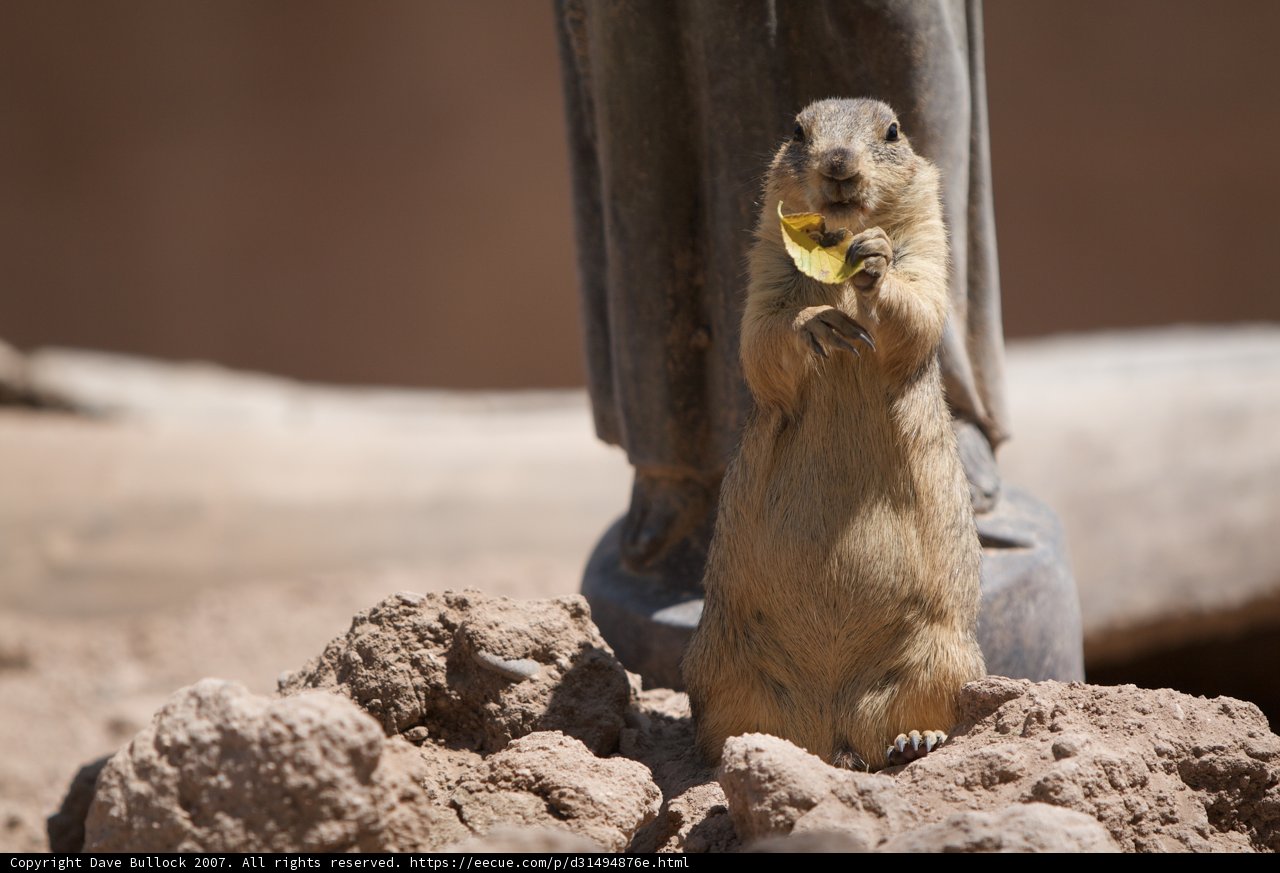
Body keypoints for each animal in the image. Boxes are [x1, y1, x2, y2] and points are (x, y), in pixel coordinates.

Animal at [681, 98, 985, 770]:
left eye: (892, 131)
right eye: (798, 131)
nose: (839, 164)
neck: (834, 243)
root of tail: (832, 731)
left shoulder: (929, 240)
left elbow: (919, 306)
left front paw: (875, 263)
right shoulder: (767, 258)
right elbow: (761, 337)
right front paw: (815, 323)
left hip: (944, 655)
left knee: (928, 712)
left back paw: (914, 740)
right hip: (719, 662)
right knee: (725, 730)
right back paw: (744, 749)